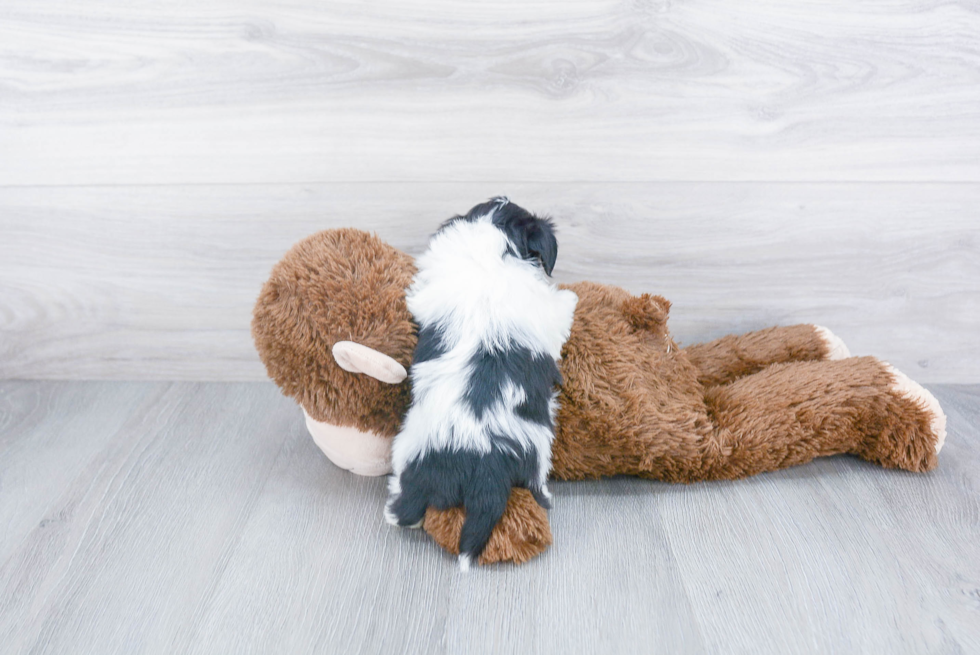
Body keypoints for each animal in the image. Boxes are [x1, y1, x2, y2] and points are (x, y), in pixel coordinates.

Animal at [384, 197, 580, 572]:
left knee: (406, 508)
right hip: (536, 455)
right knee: (538, 487)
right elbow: (563, 306)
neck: (489, 251)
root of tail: (480, 464)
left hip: (411, 457)